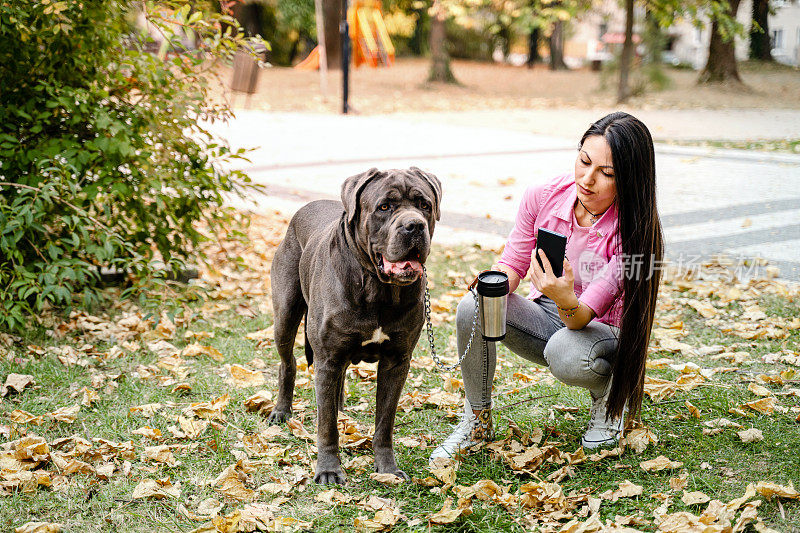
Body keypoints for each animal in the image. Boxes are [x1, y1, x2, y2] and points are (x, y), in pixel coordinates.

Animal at [268, 166, 444, 482]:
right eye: (384, 207)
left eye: (424, 205)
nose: (414, 226)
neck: (378, 288)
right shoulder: (327, 357)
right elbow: (327, 426)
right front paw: (328, 469)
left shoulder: (396, 361)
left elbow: (385, 421)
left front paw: (387, 469)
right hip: (285, 316)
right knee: (288, 363)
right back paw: (281, 410)